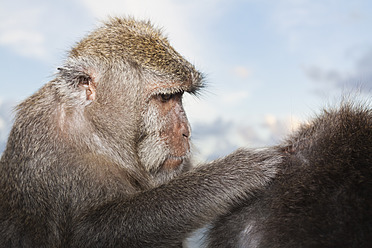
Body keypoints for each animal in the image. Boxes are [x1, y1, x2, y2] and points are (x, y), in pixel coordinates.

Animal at [0, 16, 280, 247]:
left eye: (179, 96)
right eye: (165, 98)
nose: (186, 131)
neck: (96, 136)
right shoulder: (48, 155)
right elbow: (89, 233)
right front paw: (233, 173)